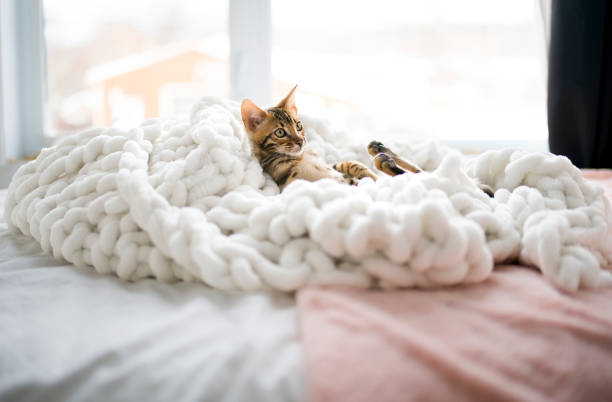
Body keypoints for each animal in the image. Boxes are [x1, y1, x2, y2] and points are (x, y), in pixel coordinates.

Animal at [239, 86, 492, 196]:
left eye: (299, 126)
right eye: (281, 133)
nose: (301, 141)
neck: (303, 157)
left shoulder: (334, 166)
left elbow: (350, 165)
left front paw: (364, 169)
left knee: (421, 173)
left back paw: (381, 150)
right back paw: (384, 158)